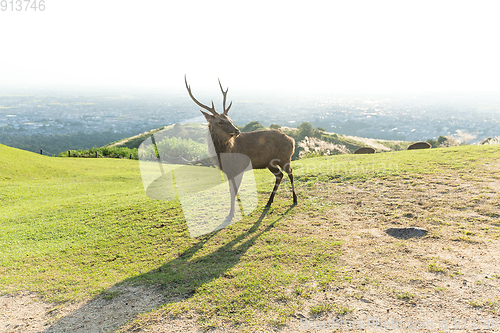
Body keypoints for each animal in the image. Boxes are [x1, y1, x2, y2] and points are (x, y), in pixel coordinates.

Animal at [187, 76, 296, 220]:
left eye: (231, 120)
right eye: (220, 122)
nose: (237, 131)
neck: (226, 154)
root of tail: (292, 140)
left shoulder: (239, 167)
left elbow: (234, 190)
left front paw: (232, 214)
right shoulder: (229, 171)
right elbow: (231, 190)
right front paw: (233, 211)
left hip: (285, 158)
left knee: (290, 173)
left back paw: (295, 200)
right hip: (270, 163)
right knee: (280, 175)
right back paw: (269, 202)